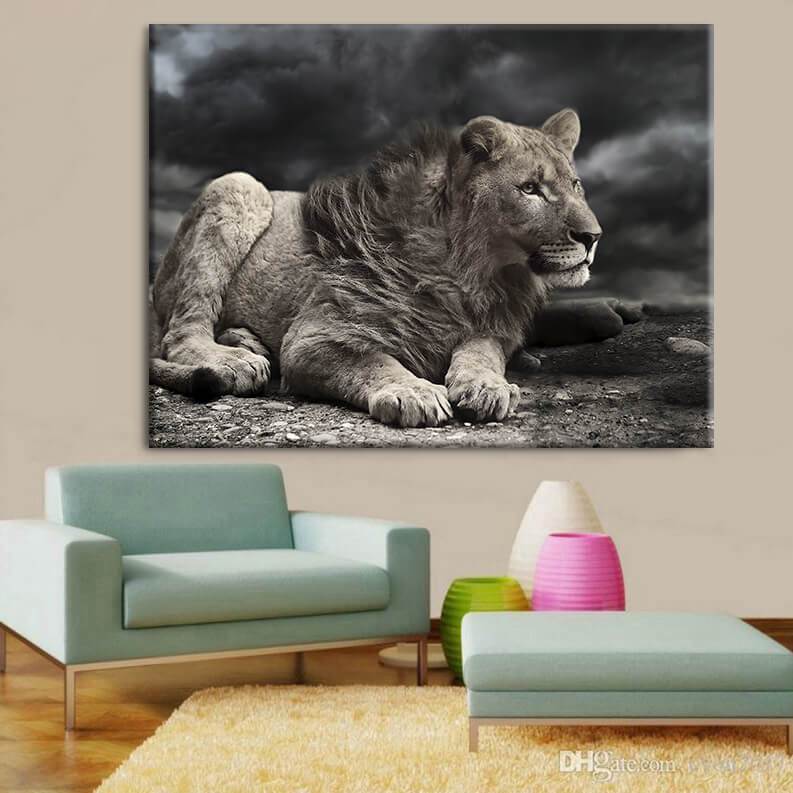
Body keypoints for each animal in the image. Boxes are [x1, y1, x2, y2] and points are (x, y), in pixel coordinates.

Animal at [150, 109, 605, 427]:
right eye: (530, 189)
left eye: (576, 186)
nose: (593, 237)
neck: (474, 272)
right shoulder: (311, 338)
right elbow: (372, 360)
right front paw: (412, 393)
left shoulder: (489, 323)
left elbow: (483, 350)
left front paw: (486, 384)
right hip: (239, 187)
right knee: (180, 333)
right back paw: (234, 361)